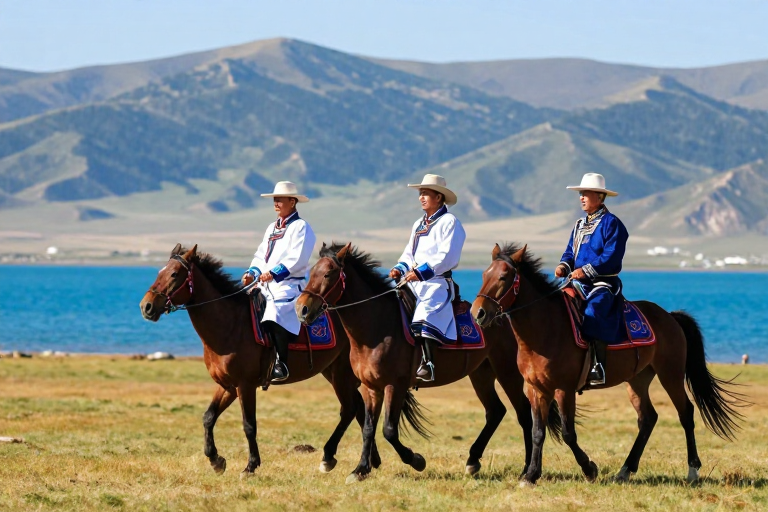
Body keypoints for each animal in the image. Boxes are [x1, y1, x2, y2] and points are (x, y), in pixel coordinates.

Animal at [139, 244, 380, 477]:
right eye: (160, 272)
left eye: (174, 274)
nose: (146, 306)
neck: (230, 325)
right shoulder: (227, 385)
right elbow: (208, 417)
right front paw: (215, 460)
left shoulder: (245, 385)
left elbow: (249, 425)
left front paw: (250, 465)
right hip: (333, 372)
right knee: (359, 408)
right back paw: (371, 461)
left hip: (341, 374)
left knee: (350, 409)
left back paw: (331, 458)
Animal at [295, 242, 561, 484]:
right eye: (312, 271)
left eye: (327, 273)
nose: (302, 309)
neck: (376, 326)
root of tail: (505, 312)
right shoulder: (371, 387)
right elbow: (369, 427)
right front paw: (361, 469)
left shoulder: (395, 385)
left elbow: (388, 430)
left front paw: (415, 460)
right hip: (481, 373)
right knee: (496, 411)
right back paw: (473, 461)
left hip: (508, 373)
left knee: (524, 415)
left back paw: (527, 471)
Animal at [471, 243, 748, 486]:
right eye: (484, 274)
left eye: (504, 277)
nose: (478, 313)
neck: (545, 328)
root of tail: (670, 317)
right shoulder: (536, 389)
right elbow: (538, 432)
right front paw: (530, 476)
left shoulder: (564, 389)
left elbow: (569, 433)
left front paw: (589, 469)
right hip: (637, 380)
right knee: (648, 418)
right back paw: (625, 470)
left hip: (670, 374)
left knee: (686, 413)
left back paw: (692, 470)